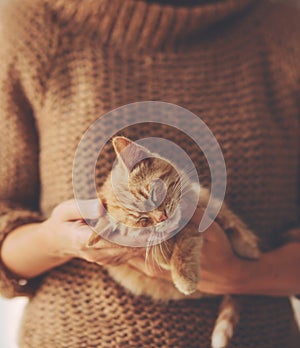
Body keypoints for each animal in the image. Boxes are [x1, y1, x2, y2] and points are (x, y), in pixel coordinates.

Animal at [88, 136, 260, 348]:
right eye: (143, 221)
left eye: (154, 194)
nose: (162, 217)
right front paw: (170, 259)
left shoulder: (199, 204)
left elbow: (200, 227)